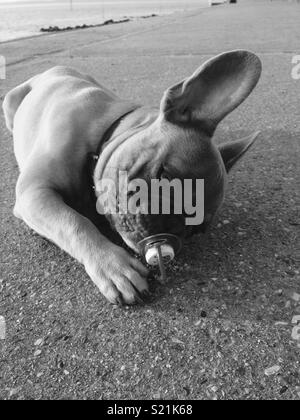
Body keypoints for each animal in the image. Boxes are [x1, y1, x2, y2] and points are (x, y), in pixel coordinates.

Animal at [3, 50, 262, 306]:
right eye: (166, 175)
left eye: (194, 231)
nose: (173, 227)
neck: (105, 131)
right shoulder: (33, 192)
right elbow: (74, 222)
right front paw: (113, 266)